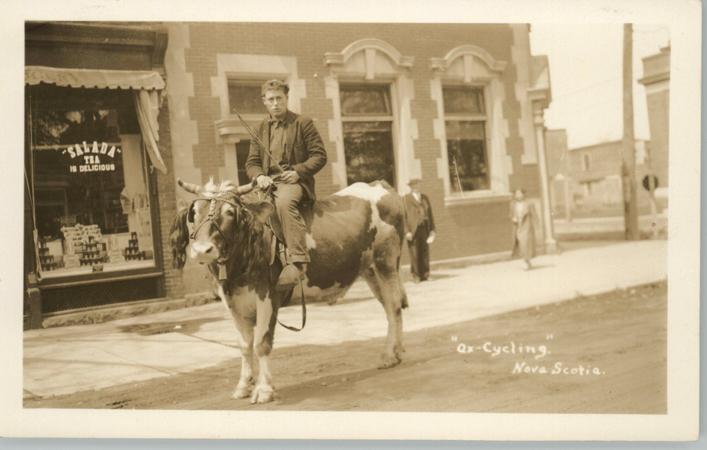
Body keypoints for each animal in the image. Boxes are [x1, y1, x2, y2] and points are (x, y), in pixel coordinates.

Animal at [170, 178, 408, 404]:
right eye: (193, 213)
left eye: (229, 212)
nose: (203, 250)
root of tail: (379, 185)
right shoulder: (233, 303)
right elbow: (244, 346)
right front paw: (243, 386)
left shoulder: (267, 295)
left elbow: (261, 343)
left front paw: (264, 390)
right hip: (370, 270)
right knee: (390, 309)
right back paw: (396, 351)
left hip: (386, 261)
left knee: (394, 306)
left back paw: (388, 355)